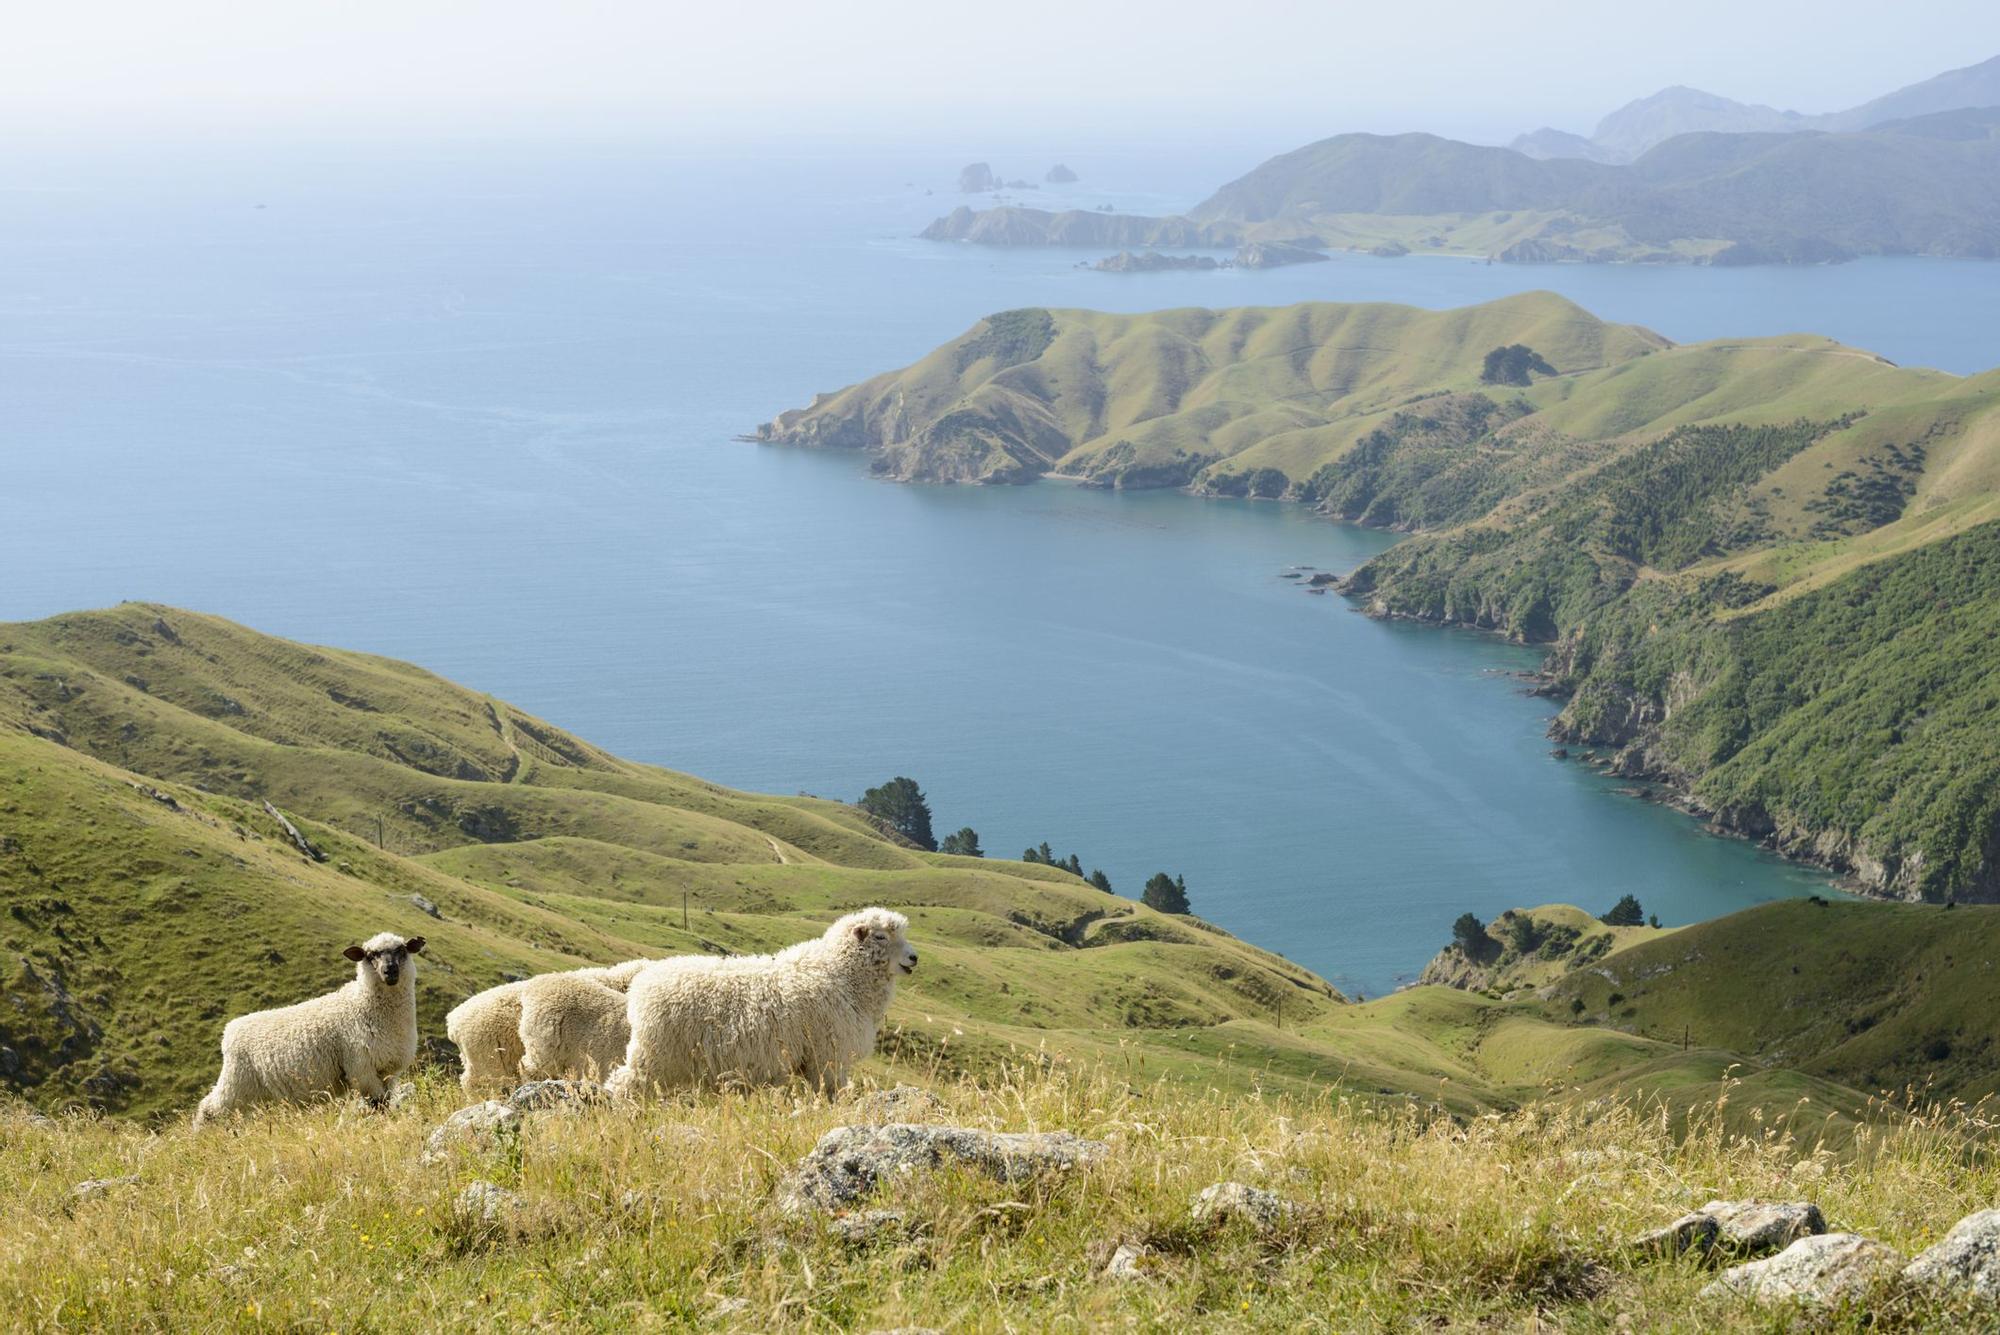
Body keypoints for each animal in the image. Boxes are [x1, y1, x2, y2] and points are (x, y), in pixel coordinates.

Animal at [195, 935, 426, 1135]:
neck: (363, 1004)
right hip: (238, 1080)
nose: (390, 970)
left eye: (402, 950)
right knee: (210, 1109)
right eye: (370, 955)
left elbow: (385, 1102)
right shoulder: (361, 1069)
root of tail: (229, 1030)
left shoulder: (388, 1071)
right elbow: (377, 1104)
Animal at [608, 907, 920, 1103]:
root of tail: (641, 986)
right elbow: (831, 1092)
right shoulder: (827, 1056)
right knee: (624, 1083)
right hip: (657, 1054)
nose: (914, 958)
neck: (839, 972)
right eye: (880, 936)